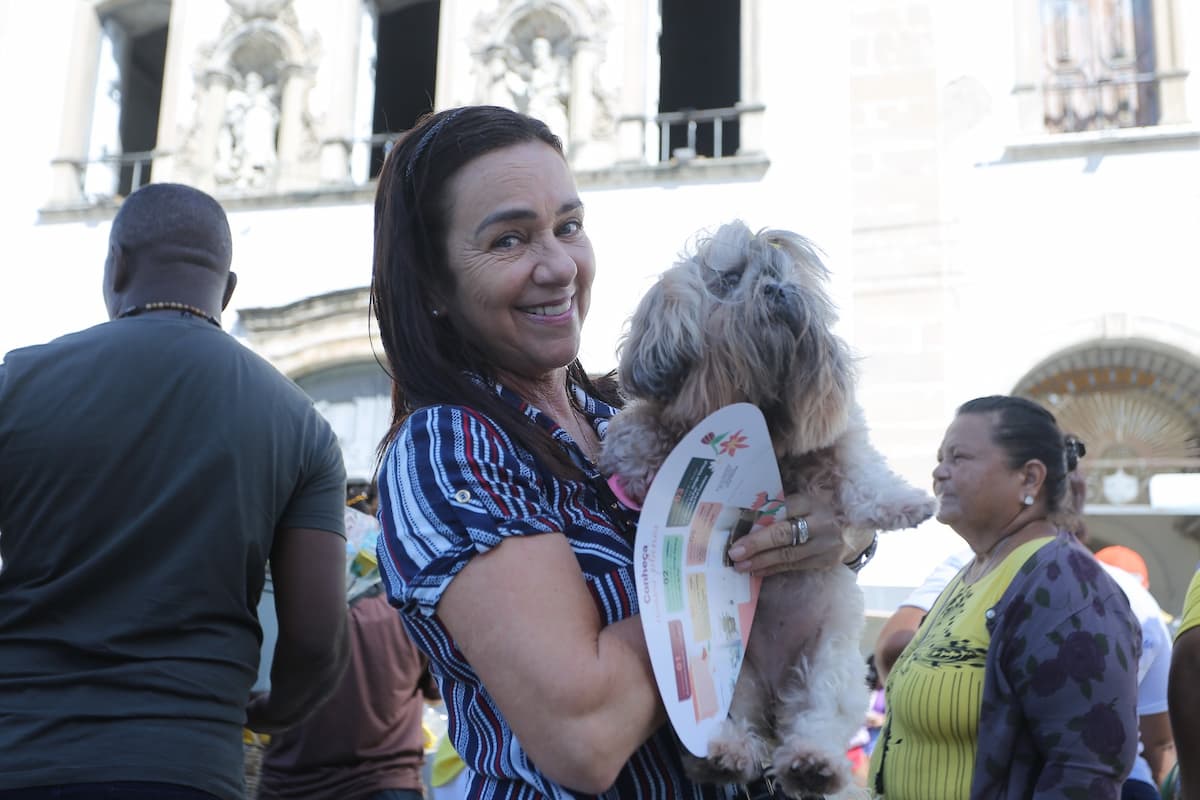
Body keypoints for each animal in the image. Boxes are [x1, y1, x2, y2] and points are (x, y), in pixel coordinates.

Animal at [600, 220, 936, 800]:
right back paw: (727, 755)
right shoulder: (663, 419)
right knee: (739, 725)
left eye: (783, 275)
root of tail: (778, 694)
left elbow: (864, 475)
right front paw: (634, 463)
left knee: (816, 718)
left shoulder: (840, 440)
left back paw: (811, 763)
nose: (779, 291)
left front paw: (908, 501)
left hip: (830, 663)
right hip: (733, 677)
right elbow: (638, 429)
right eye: (730, 278)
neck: (767, 415)